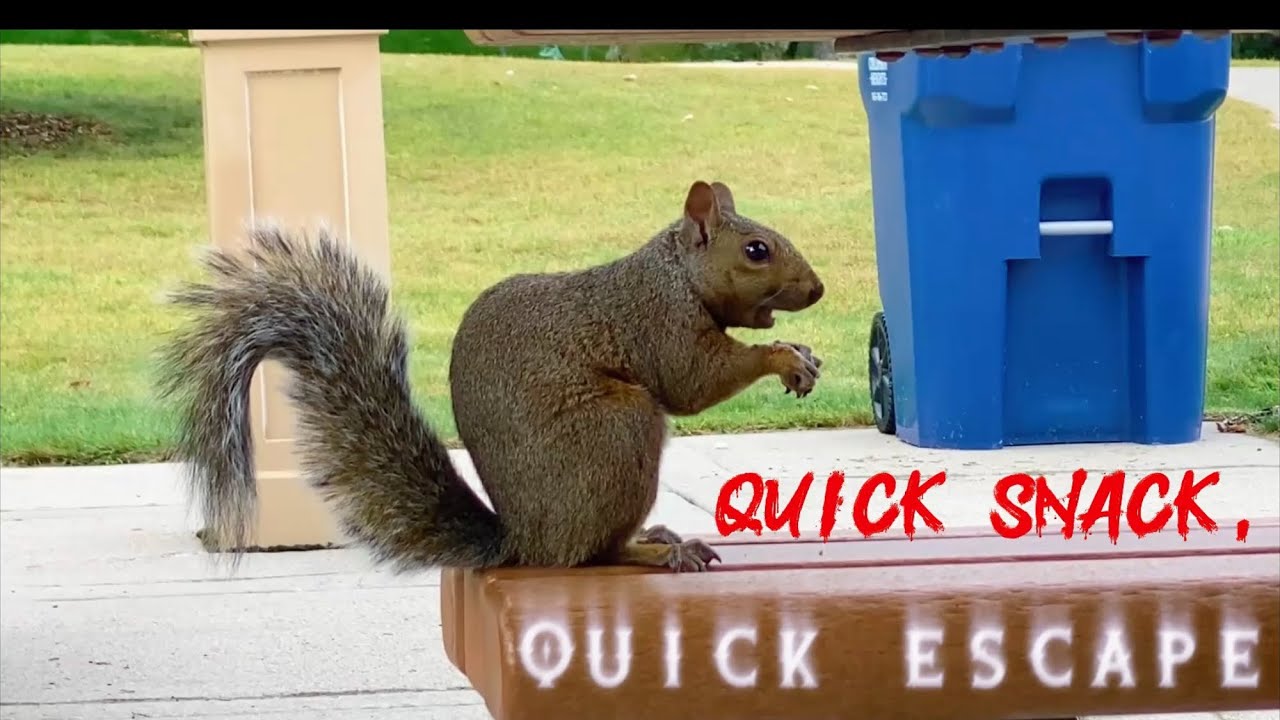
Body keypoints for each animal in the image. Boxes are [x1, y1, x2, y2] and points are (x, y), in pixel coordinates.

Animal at [158, 180, 825, 574]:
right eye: (757, 251)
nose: (818, 290)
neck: (676, 274)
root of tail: (525, 543)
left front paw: (800, 352)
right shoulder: (657, 321)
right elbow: (694, 380)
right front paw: (783, 357)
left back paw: (657, 535)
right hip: (617, 432)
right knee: (595, 553)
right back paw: (658, 551)